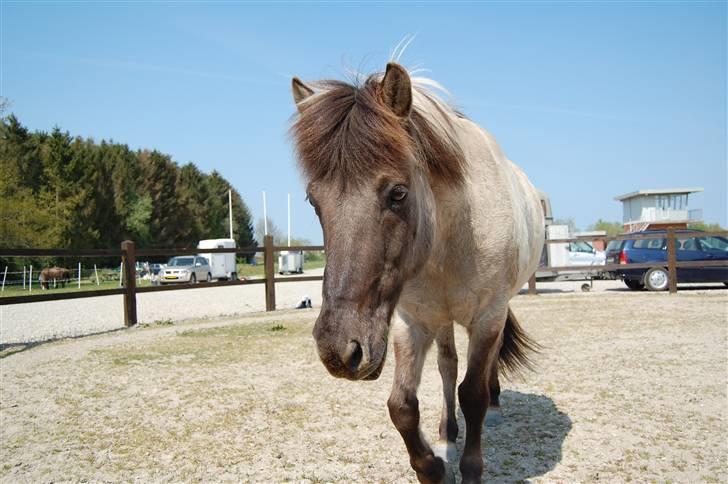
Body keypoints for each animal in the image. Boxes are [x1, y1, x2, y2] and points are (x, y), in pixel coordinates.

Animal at [288, 62, 544, 482]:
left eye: (398, 193)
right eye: (313, 201)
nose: (338, 350)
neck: (451, 238)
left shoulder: (488, 317)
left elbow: (472, 393)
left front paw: (470, 469)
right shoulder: (412, 323)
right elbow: (403, 405)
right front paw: (435, 467)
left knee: (480, 374)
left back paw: (493, 407)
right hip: (440, 320)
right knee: (447, 367)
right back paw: (446, 435)